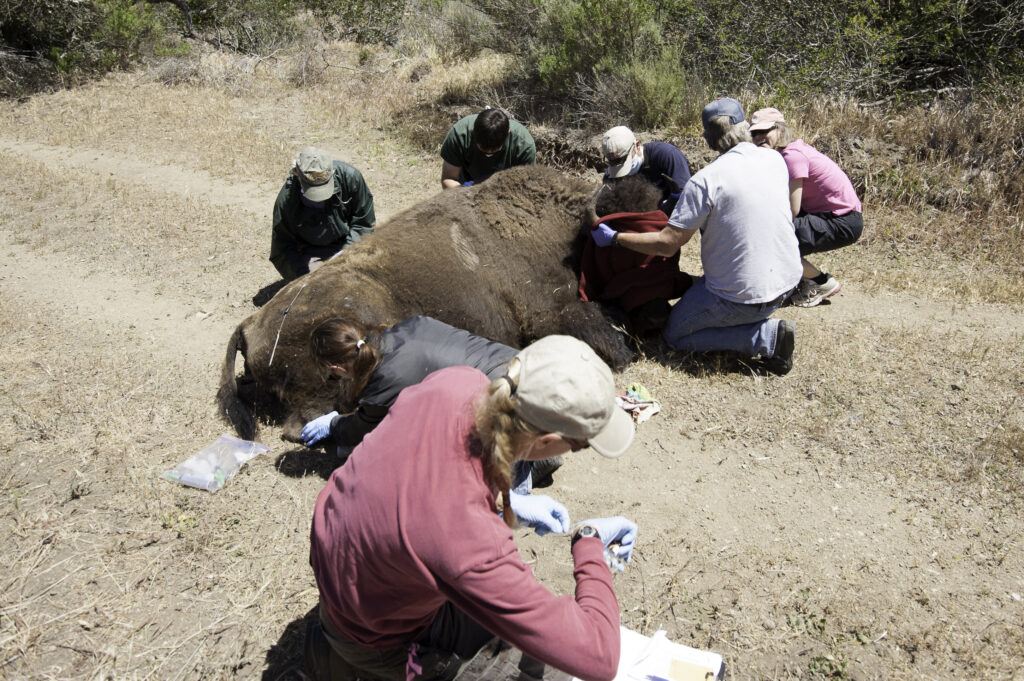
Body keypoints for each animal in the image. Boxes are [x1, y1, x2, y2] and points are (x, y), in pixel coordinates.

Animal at [219, 166, 667, 438]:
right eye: (624, 238)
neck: (568, 232)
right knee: (304, 425)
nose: (655, 308)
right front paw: (626, 352)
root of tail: (250, 323)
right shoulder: (552, 311)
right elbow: (598, 333)